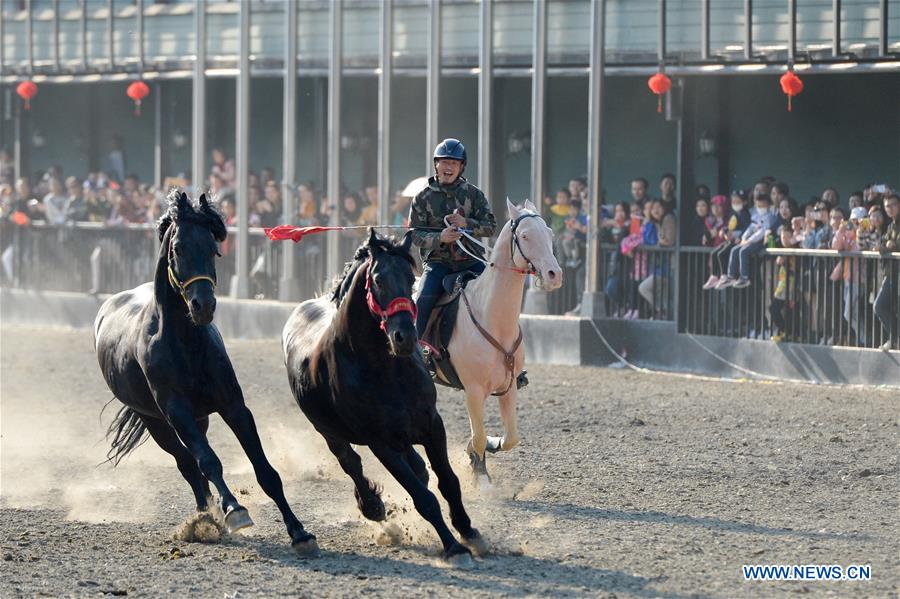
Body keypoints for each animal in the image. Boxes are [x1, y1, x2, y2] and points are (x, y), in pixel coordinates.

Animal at [94, 192, 318, 556]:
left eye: (213, 249)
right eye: (178, 248)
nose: (204, 305)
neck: (185, 343)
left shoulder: (233, 406)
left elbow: (265, 470)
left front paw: (299, 532)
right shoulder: (177, 412)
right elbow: (208, 462)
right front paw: (235, 510)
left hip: (200, 419)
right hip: (158, 424)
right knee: (187, 463)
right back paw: (209, 515)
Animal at [284, 230, 488, 568]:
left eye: (410, 276)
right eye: (378, 279)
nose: (404, 336)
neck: (383, 367)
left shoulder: (432, 425)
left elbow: (448, 482)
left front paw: (469, 531)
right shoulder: (380, 442)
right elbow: (424, 498)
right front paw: (453, 547)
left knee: (416, 466)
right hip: (328, 431)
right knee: (351, 463)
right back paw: (372, 506)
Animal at [440, 200, 560, 482]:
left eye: (549, 233)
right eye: (525, 236)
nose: (554, 274)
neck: (491, 318)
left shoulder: (509, 386)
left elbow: (509, 438)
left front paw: (484, 449)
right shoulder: (473, 391)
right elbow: (478, 436)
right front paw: (481, 477)